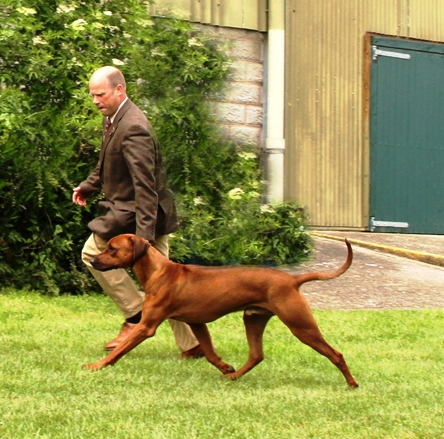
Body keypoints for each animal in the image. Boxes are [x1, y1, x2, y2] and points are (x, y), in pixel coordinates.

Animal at [84, 234, 358, 388]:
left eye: (112, 248)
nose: (93, 261)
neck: (158, 271)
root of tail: (292, 279)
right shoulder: (197, 323)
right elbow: (209, 352)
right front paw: (225, 367)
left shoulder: (146, 326)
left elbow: (120, 349)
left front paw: (97, 365)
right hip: (253, 319)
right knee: (256, 355)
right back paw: (233, 378)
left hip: (301, 325)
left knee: (336, 354)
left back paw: (352, 383)